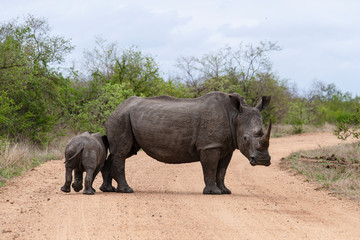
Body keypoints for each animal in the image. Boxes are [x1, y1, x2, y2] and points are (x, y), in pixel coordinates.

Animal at [100, 91, 272, 194]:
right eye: (245, 138)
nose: (262, 160)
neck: (235, 116)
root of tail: (115, 108)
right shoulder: (210, 146)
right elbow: (211, 168)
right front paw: (213, 192)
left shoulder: (226, 146)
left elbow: (222, 170)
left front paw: (225, 191)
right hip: (121, 118)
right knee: (121, 153)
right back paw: (127, 190)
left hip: (125, 117)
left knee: (123, 152)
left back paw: (108, 189)